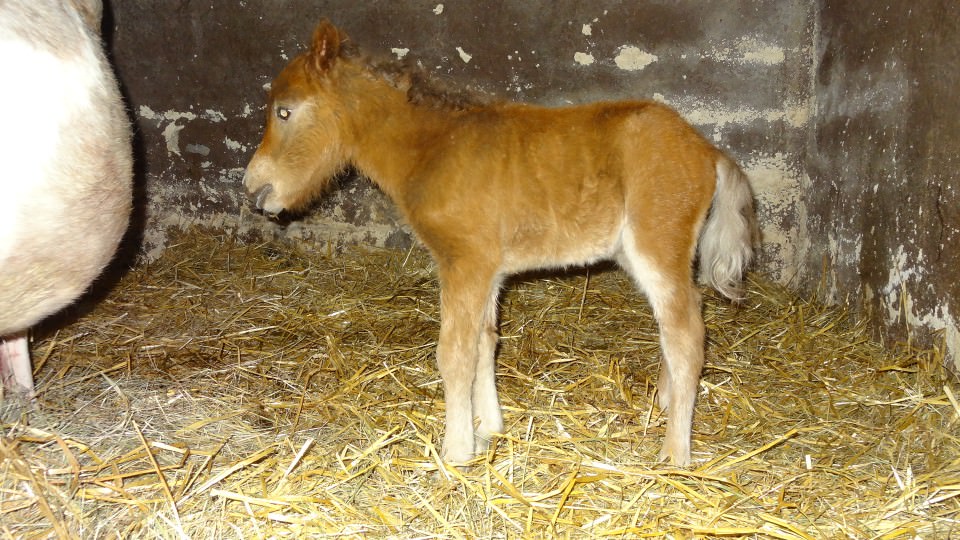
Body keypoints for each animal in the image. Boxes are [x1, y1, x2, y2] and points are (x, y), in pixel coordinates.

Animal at [244, 19, 752, 466]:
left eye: (285, 110)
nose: (253, 189)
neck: (433, 148)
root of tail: (708, 150)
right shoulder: (487, 268)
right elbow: (485, 342)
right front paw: (488, 429)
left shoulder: (463, 261)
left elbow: (454, 353)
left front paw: (456, 451)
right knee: (676, 324)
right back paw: (665, 404)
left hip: (656, 246)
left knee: (687, 334)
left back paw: (675, 454)